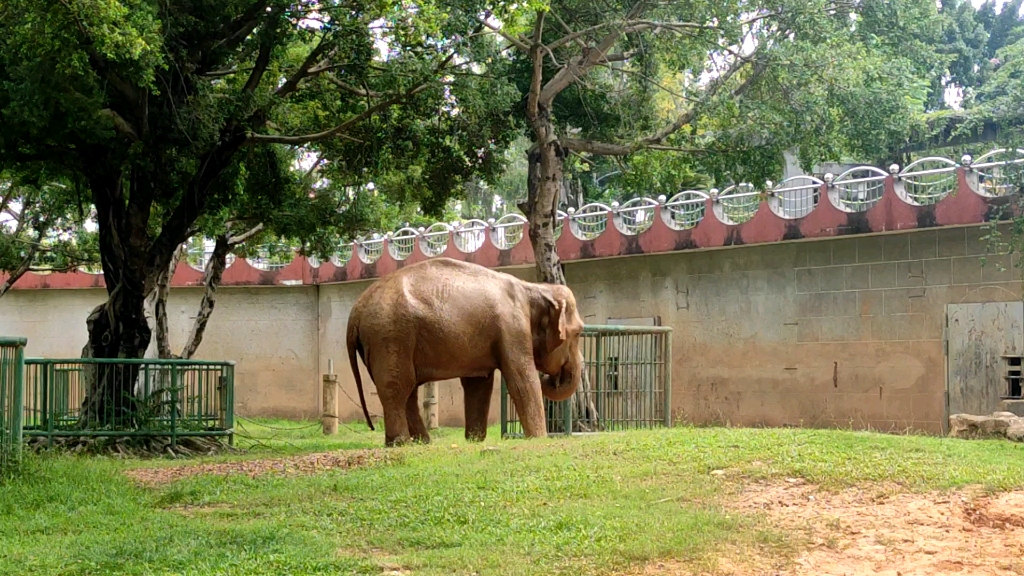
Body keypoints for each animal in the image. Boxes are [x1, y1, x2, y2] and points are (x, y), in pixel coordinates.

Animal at [346, 255, 585, 444]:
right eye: (578, 333)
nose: (551, 378)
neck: (535, 287)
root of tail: (356, 311)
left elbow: (478, 384)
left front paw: (475, 440)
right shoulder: (513, 328)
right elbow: (521, 380)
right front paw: (539, 439)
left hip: (388, 340)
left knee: (407, 390)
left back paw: (423, 442)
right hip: (390, 336)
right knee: (397, 387)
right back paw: (401, 443)